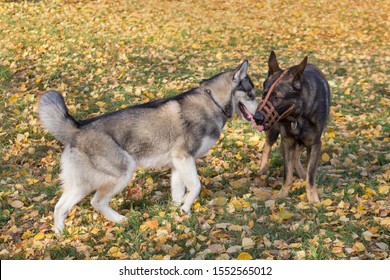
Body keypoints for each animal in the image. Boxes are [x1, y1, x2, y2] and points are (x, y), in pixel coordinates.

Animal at [38, 61, 258, 234]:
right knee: (97, 202)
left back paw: (60, 235)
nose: (261, 114)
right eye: (251, 94)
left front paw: (177, 212)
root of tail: (77, 128)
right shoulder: (184, 158)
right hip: (121, 172)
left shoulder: (178, 164)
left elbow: (178, 192)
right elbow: (196, 186)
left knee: (60, 207)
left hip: (81, 184)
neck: (213, 102)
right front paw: (186, 209)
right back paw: (121, 220)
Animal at [251, 51, 330, 202]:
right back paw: (262, 171)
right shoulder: (287, 142)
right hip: (274, 132)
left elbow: (311, 175)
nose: (256, 118)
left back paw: (301, 173)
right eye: (264, 94)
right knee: (267, 147)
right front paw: (282, 195)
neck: (298, 115)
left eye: (277, 97)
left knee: (297, 156)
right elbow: (287, 174)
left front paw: (313, 199)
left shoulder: (314, 144)